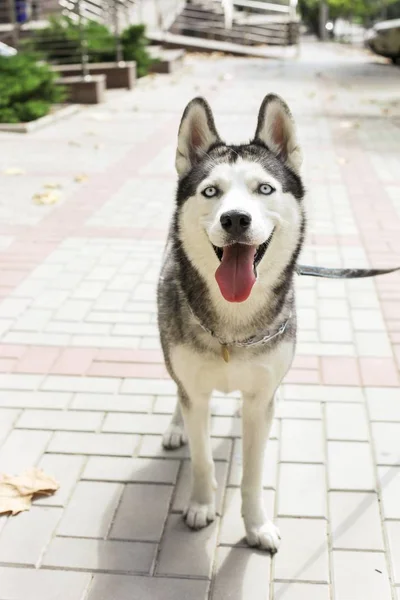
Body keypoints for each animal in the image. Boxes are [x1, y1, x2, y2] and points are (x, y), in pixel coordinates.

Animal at [158, 95, 304, 552]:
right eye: (211, 191)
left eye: (265, 189)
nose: (235, 219)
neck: (232, 330)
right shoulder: (195, 391)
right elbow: (202, 459)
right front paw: (201, 506)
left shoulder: (260, 400)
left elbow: (253, 475)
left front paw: (257, 526)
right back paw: (175, 428)